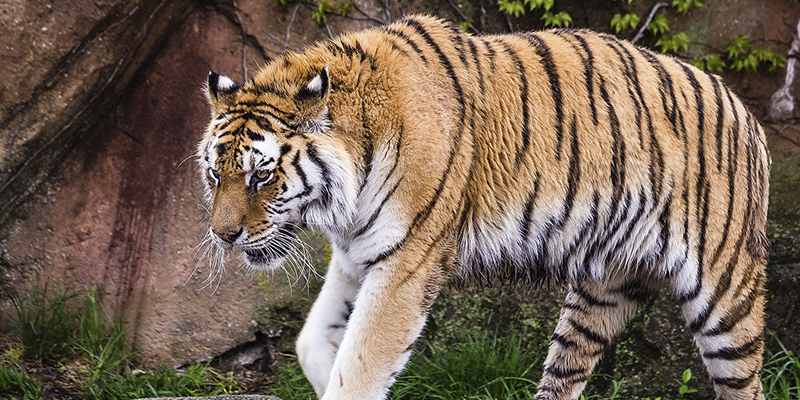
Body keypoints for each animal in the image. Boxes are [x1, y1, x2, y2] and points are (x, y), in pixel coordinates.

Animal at [197, 14, 772, 398]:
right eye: (215, 175)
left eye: (261, 175)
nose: (224, 236)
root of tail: (747, 114)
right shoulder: (358, 254)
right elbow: (313, 339)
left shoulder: (406, 262)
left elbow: (360, 366)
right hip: (602, 288)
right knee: (565, 373)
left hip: (724, 294)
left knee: (746, 381)